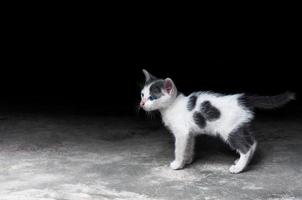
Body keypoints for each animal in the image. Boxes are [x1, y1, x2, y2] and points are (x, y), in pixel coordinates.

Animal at [139, 69, 294, 173]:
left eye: (152, 97)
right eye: (142, 94)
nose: (142, 104)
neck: (172, 106)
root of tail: (242, 98)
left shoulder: (182, 132)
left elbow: (179, 149)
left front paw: (177, 164)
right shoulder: (190, 133)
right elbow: (189, 147)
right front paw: (187, 161)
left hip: (230, 130)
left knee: (246, 147)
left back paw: (238, 168)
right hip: (241, 125)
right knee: (253, 142)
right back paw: (243, 162)